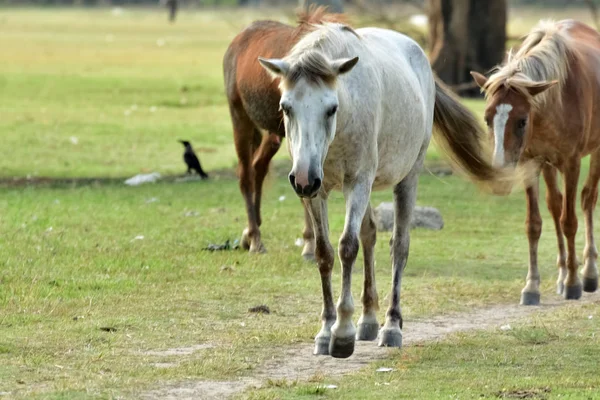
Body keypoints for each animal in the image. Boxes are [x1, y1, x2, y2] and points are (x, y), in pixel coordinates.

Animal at [223, 7, 340, 255]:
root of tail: (237, 41)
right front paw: (310, 243)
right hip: (240, 119)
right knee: (246, 175)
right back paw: (255, 239)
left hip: (273, 134)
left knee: (258, 167)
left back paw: (250, 233)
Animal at [260, 23, 500, 358]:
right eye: (286, 107)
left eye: (331, 109)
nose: (304, 177)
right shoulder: (317, 193)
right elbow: (324, 253)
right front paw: (326, 330)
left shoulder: (357, 182)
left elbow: (347, 247)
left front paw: (342, 333)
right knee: (370, 235)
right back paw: (369, 320)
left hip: (407, 178)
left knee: (399, 246)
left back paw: (391, 326)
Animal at [472, 19, 600, 306]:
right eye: (487, 119)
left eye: (522, 121)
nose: (500, 170)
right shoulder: (529, 163)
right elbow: (534, 224)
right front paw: (532, 286)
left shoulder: (571, 163)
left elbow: (569, 221)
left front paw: (574, 282)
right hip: (548, 164)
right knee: (555, 204)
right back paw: (562, 274)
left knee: (587, 200)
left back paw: (587, 272)